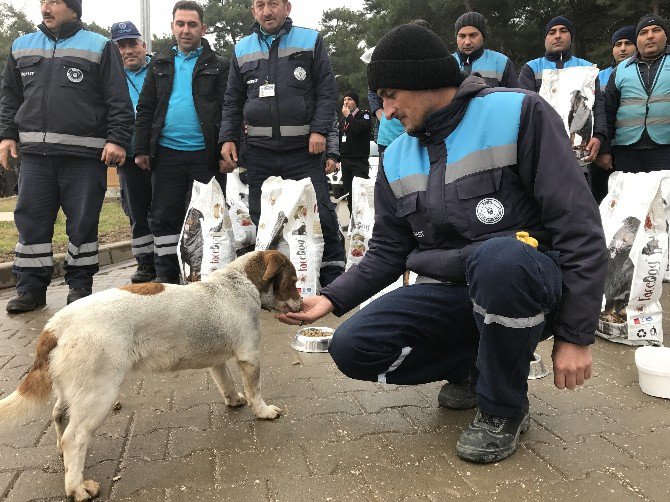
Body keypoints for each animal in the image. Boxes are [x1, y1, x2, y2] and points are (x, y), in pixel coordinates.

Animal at [0, 251, 302, 502]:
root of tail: (55, 326)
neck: (239, 283)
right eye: (293, 280)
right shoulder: (249, 357)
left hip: (73, 390)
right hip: (99, 395)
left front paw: (234, 399)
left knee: (59, 417)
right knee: (74, 438)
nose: (301, 303)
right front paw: (263, 411)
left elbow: (226, 384)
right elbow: (255, 391)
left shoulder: (218, 363)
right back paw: (77, 487)